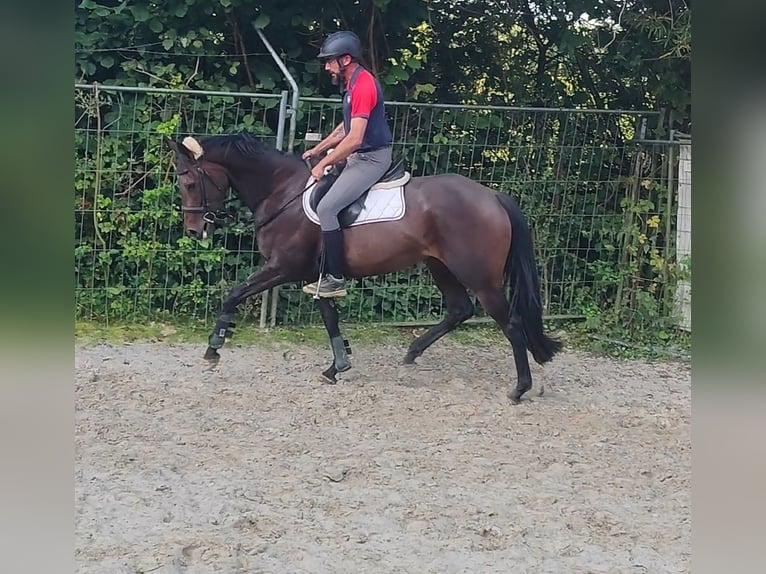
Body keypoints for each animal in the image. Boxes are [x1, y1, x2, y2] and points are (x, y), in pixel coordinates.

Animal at [170, 134, 564, 404]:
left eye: (189, 182)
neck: (284, 192)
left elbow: (233, 295)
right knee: (459, 309)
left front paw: (213, 349)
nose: (193, 231)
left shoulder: (283, 268)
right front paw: (337, 366)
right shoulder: (317, 277)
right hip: (440, 266)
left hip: (480, 278)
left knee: (510, 324)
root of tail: (492, 196)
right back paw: (413, 352)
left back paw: (519, 389)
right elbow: (330, 318)